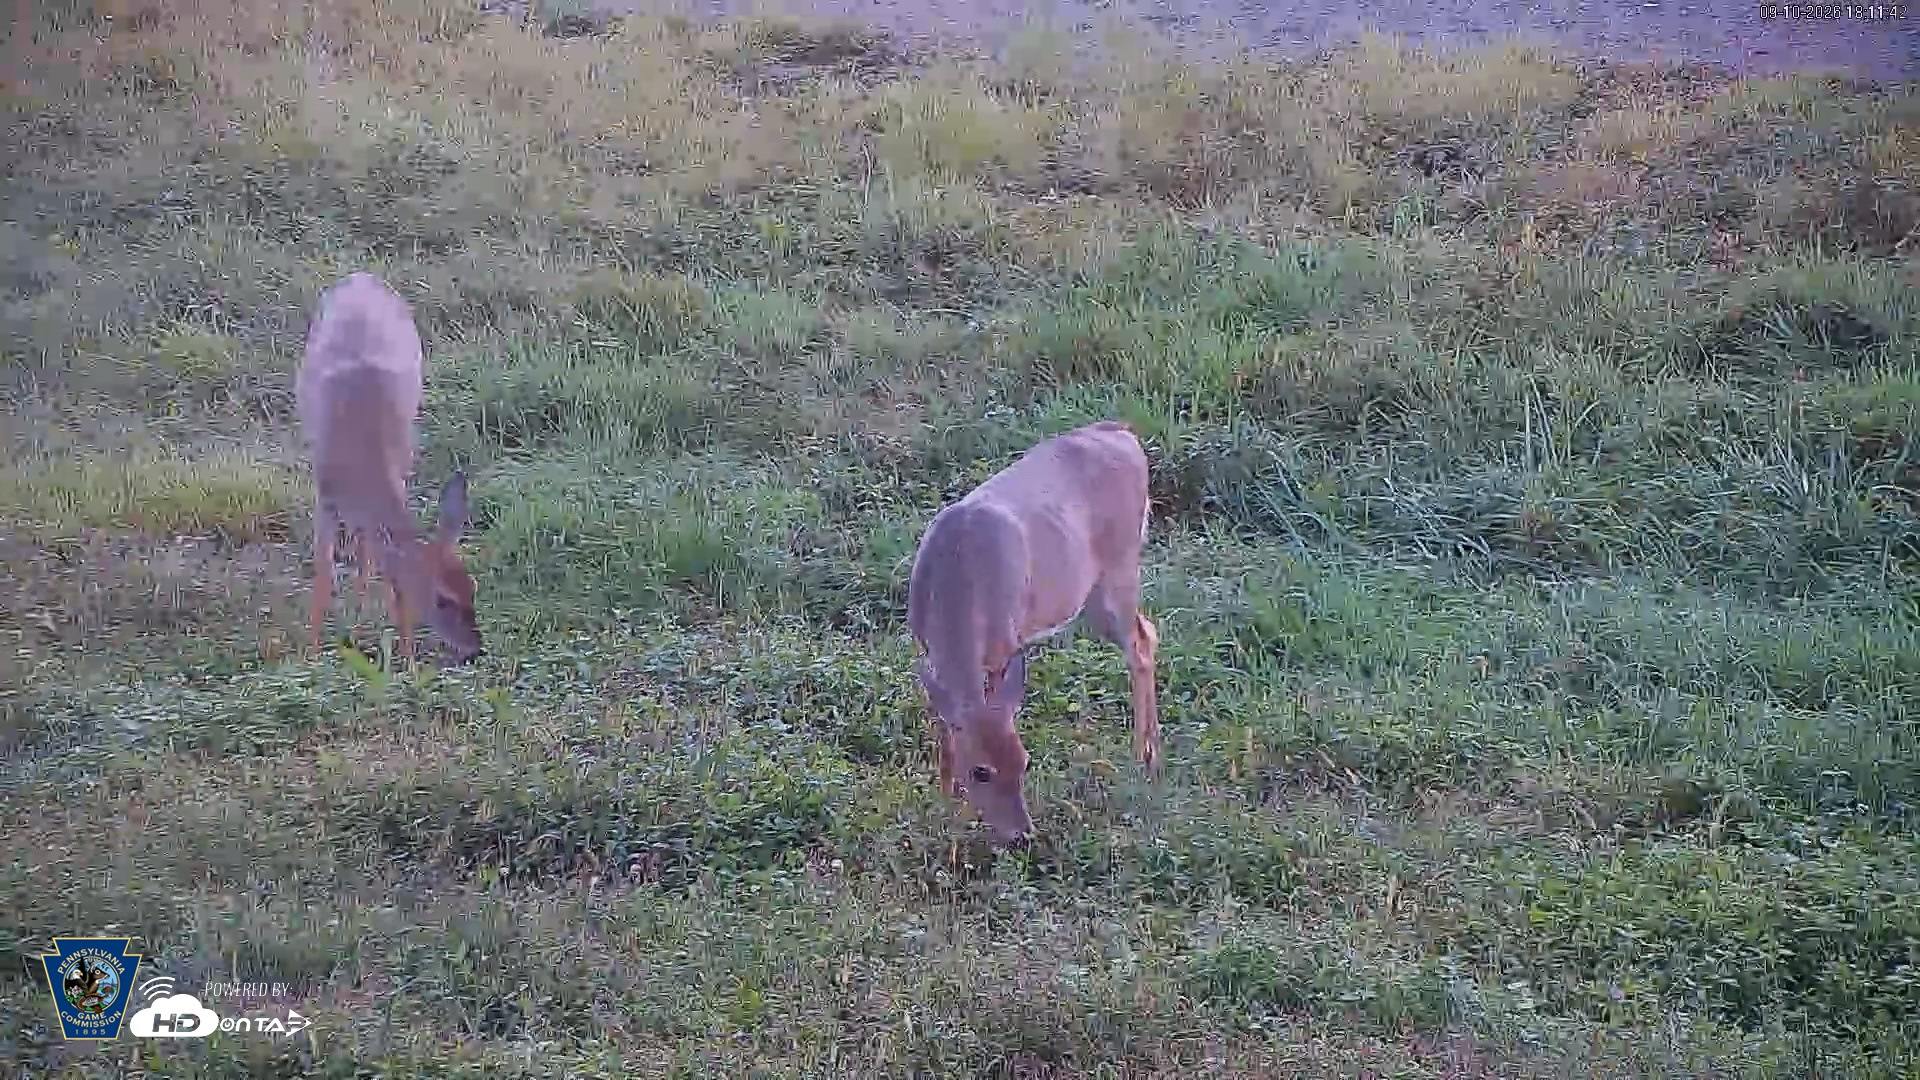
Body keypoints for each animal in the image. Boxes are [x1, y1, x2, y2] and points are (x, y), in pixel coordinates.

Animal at [295, 271, 484, 665]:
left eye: (472, 587)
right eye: (443, 599)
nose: (476, 649)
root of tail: (361, 276)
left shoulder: (399, 474)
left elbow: (395, 582)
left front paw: (408, 661)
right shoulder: (324, 494)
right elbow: (323, 574)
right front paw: (312, 656)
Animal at [906, 419, 1162, 847]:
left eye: (1025, 763)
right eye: (981, 771)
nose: (1022, 836)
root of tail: (1123, 433)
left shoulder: (1002, 646)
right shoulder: (929, 653)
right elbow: (947, 724)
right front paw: (947, 798)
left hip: (1121, 568)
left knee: (1139, 645)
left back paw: (1145, 754)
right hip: (1092, 594)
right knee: (1149, 632)